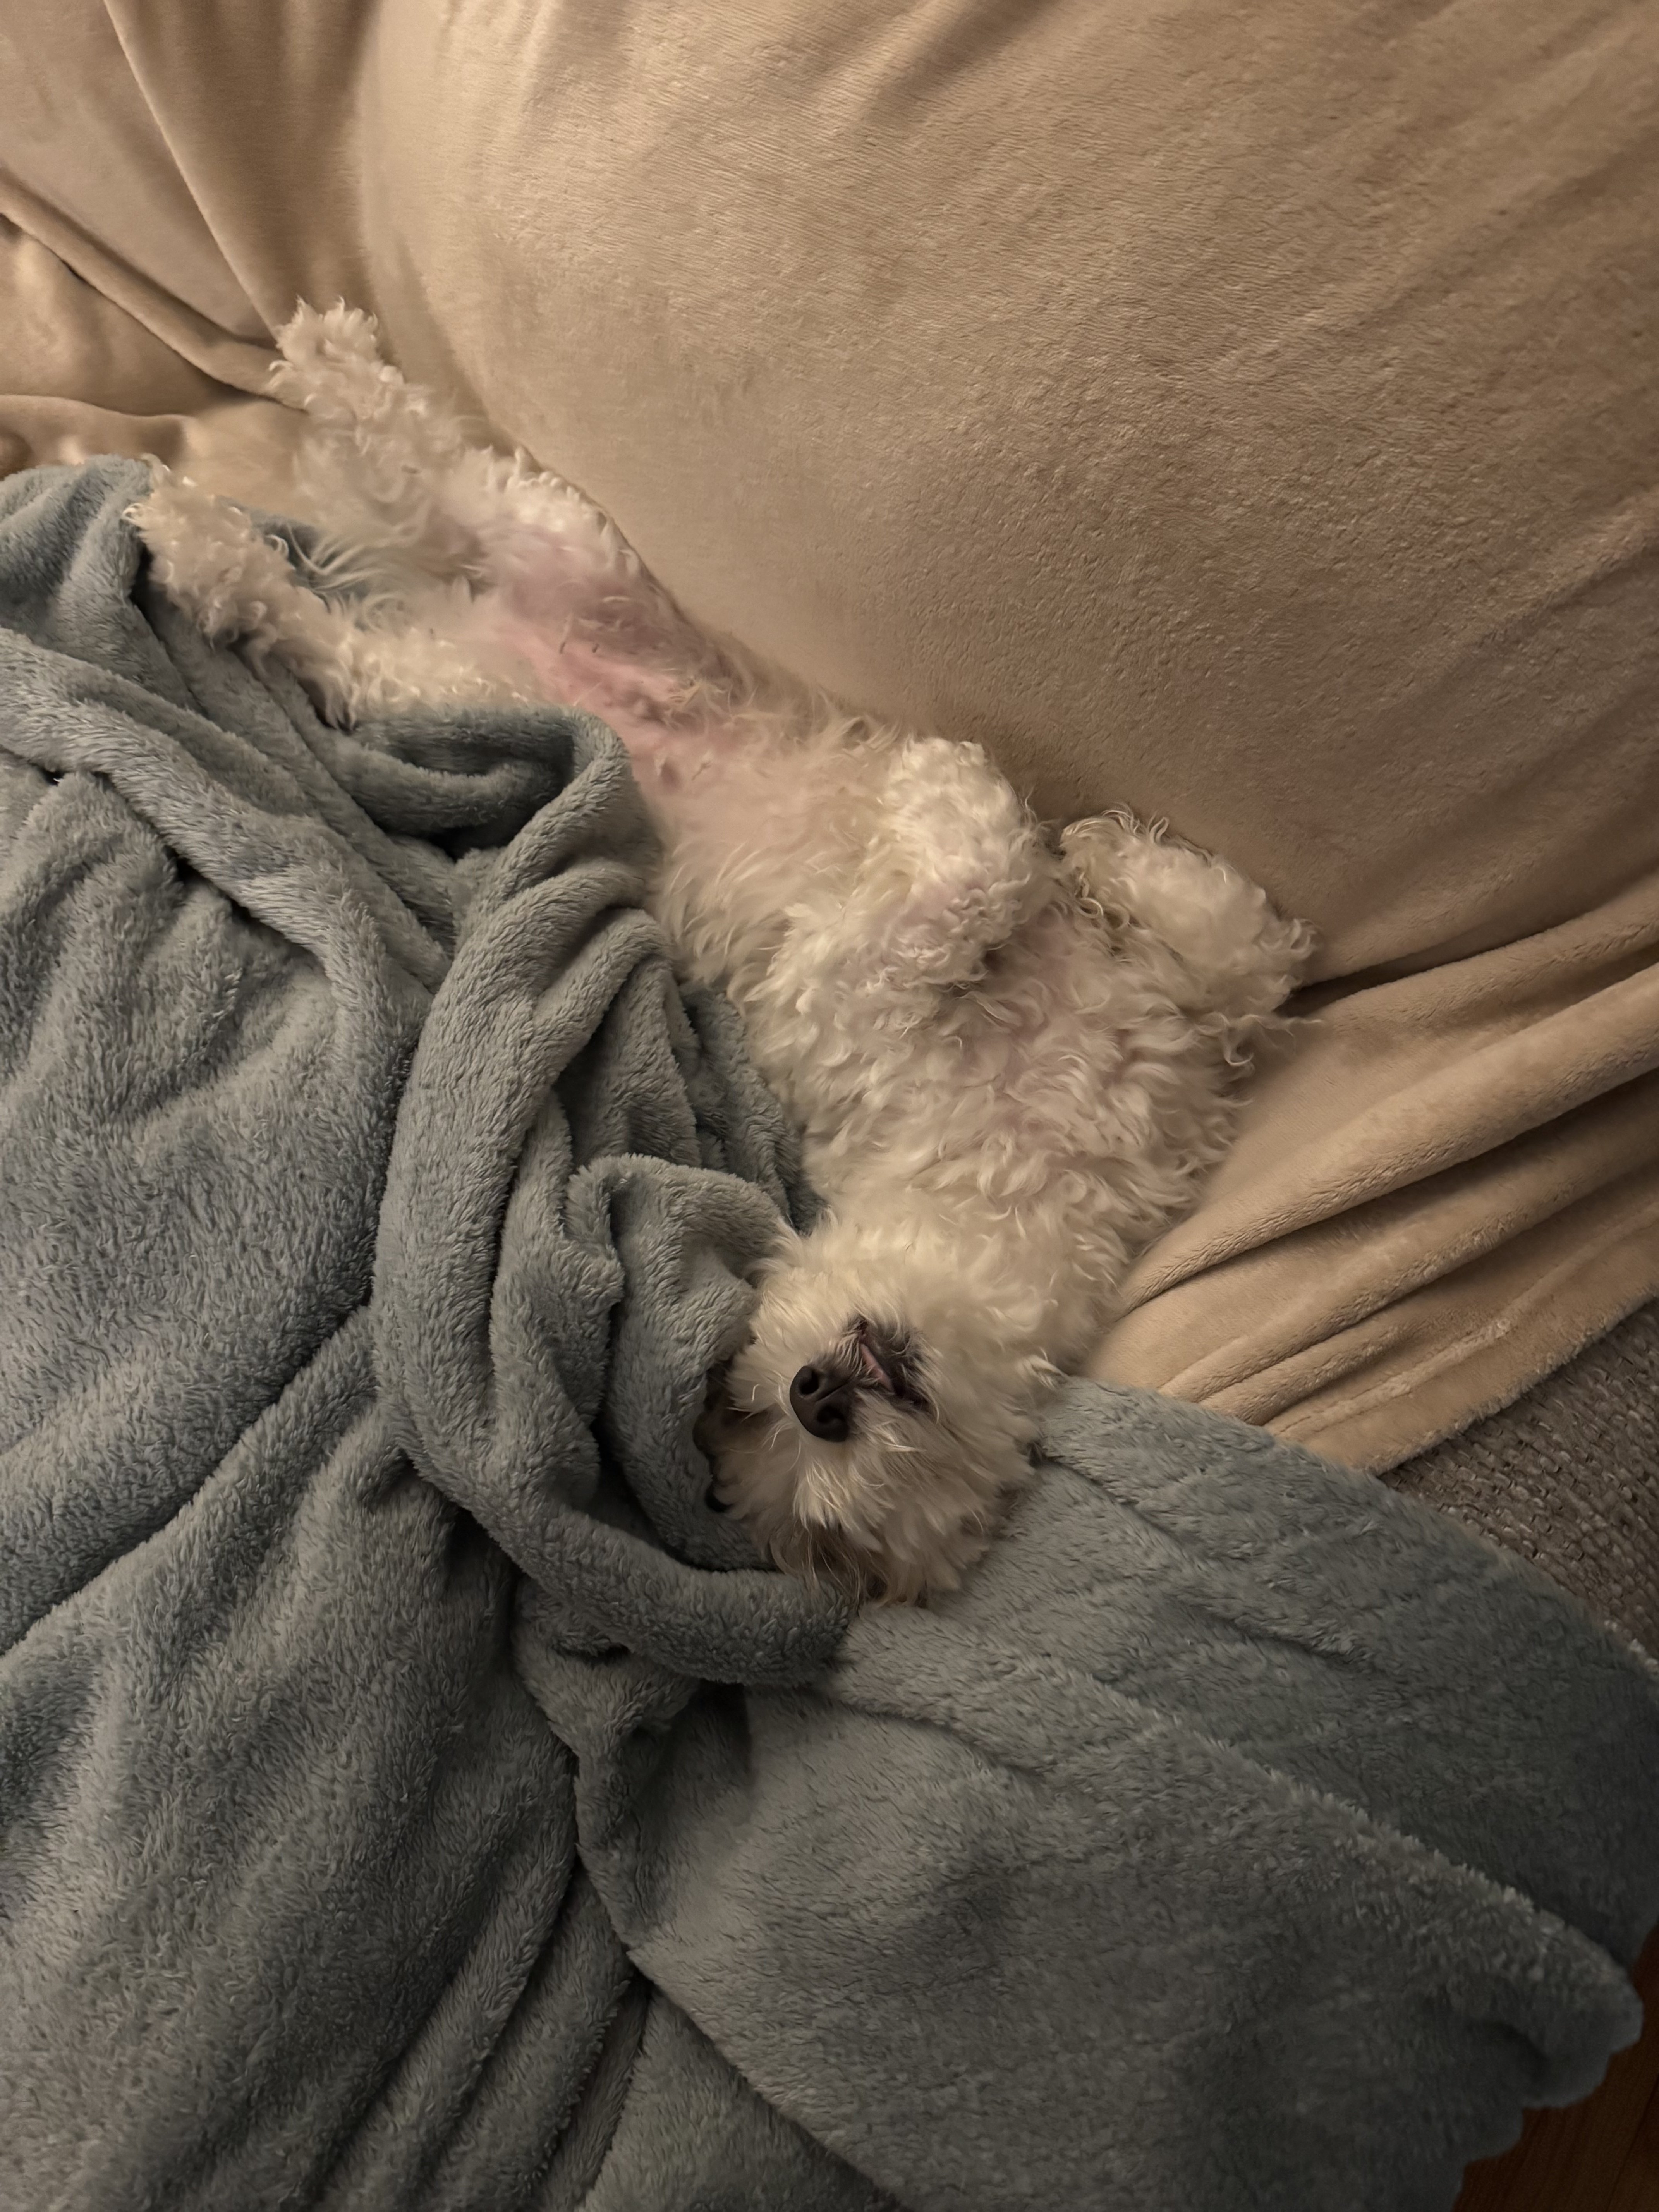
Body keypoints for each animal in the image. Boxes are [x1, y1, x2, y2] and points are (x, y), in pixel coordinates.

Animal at [133, 305, 1311, 1603]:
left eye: (832, 1511)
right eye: (775, 1417)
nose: (817, 1394)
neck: (1020, 1170)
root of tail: (487, 627)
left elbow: (1230, 952)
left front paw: (1071, 849)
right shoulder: (858, 992)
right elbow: (1099, 912)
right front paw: (993, 806)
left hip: (488, 638)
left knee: (390, 547)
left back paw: (257, 467)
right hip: (547, 595)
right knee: (364, 539)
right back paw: (243, 482)